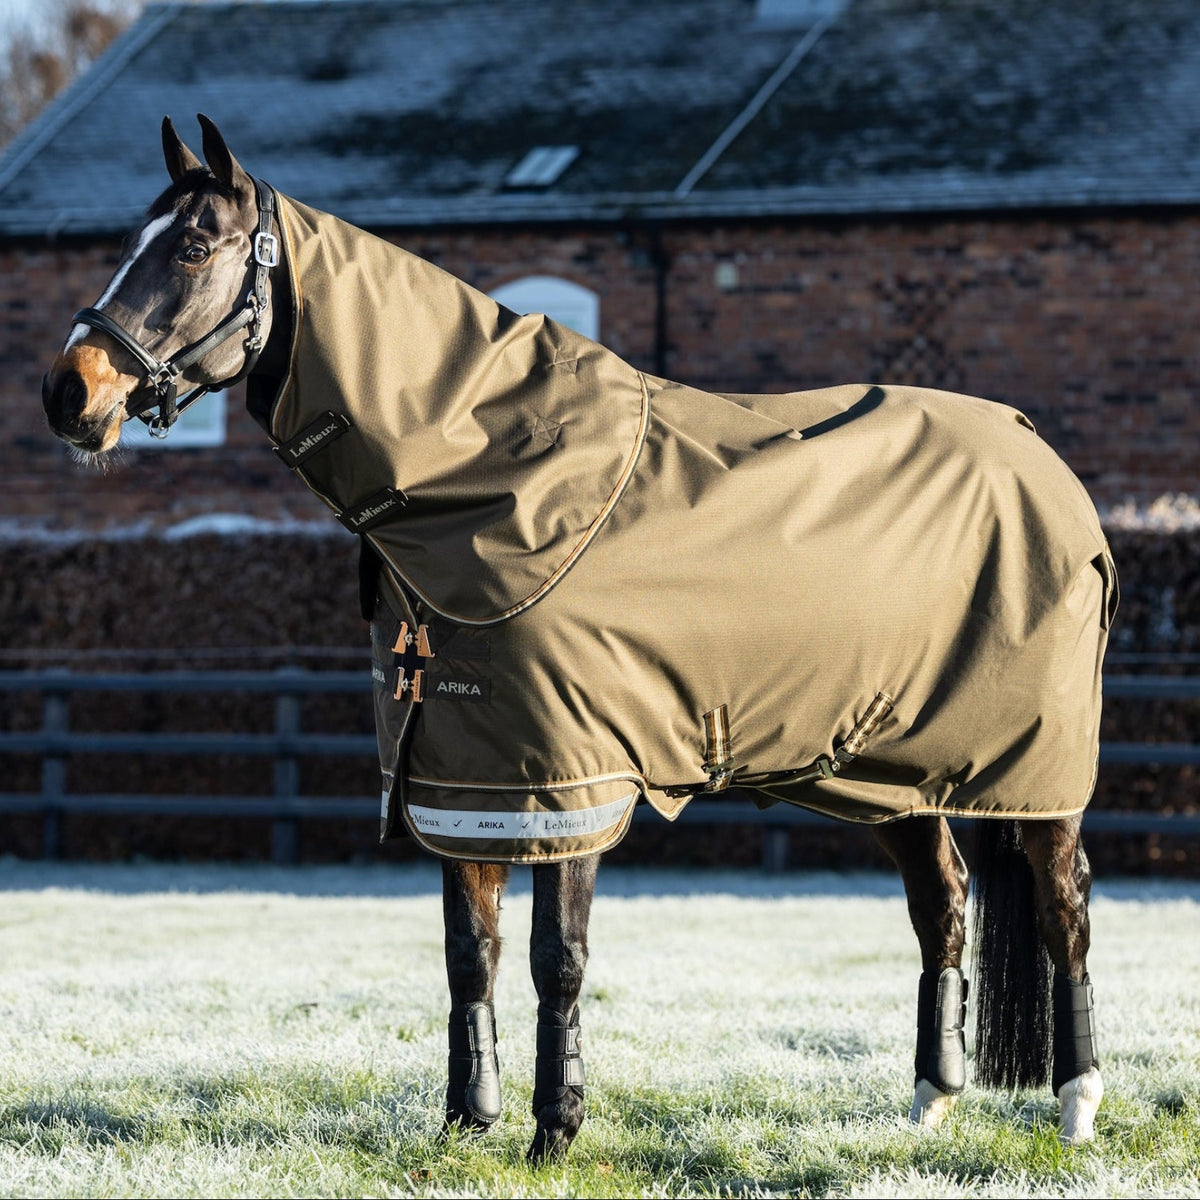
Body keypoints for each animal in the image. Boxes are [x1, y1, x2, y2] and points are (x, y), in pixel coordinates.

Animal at [41, 115, 1113, 1161]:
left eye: (190, 247)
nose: (68, 392)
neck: (488, 478)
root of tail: (1041, 454)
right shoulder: (461, 777)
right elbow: (468, 954)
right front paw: (465, 1121)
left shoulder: (571, 782)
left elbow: (558, 958)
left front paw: (555, 1129)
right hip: (888, 765)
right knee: (944, 897)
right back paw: (931, 1101)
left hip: (1034, 767)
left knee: (1063, 902)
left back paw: (1076, 1106)